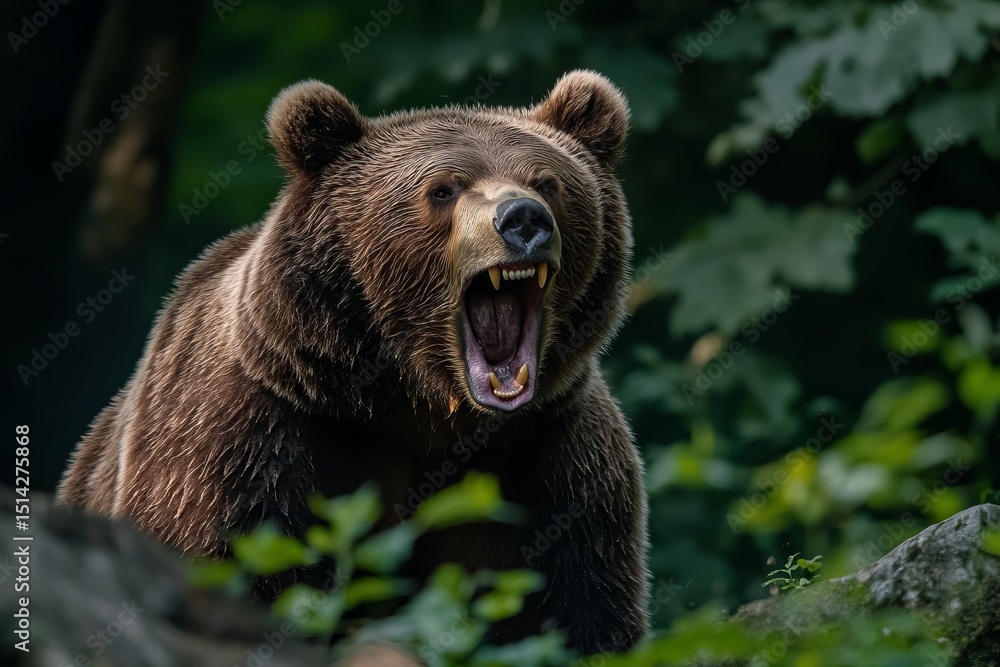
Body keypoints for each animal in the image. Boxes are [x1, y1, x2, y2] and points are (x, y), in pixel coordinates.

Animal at [57, 70, 649, 653]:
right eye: (443, 189)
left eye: (548, 182)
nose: (523, 219)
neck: (420, 408)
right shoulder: (245, 438)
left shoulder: (553, 460)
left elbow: (576, 611)